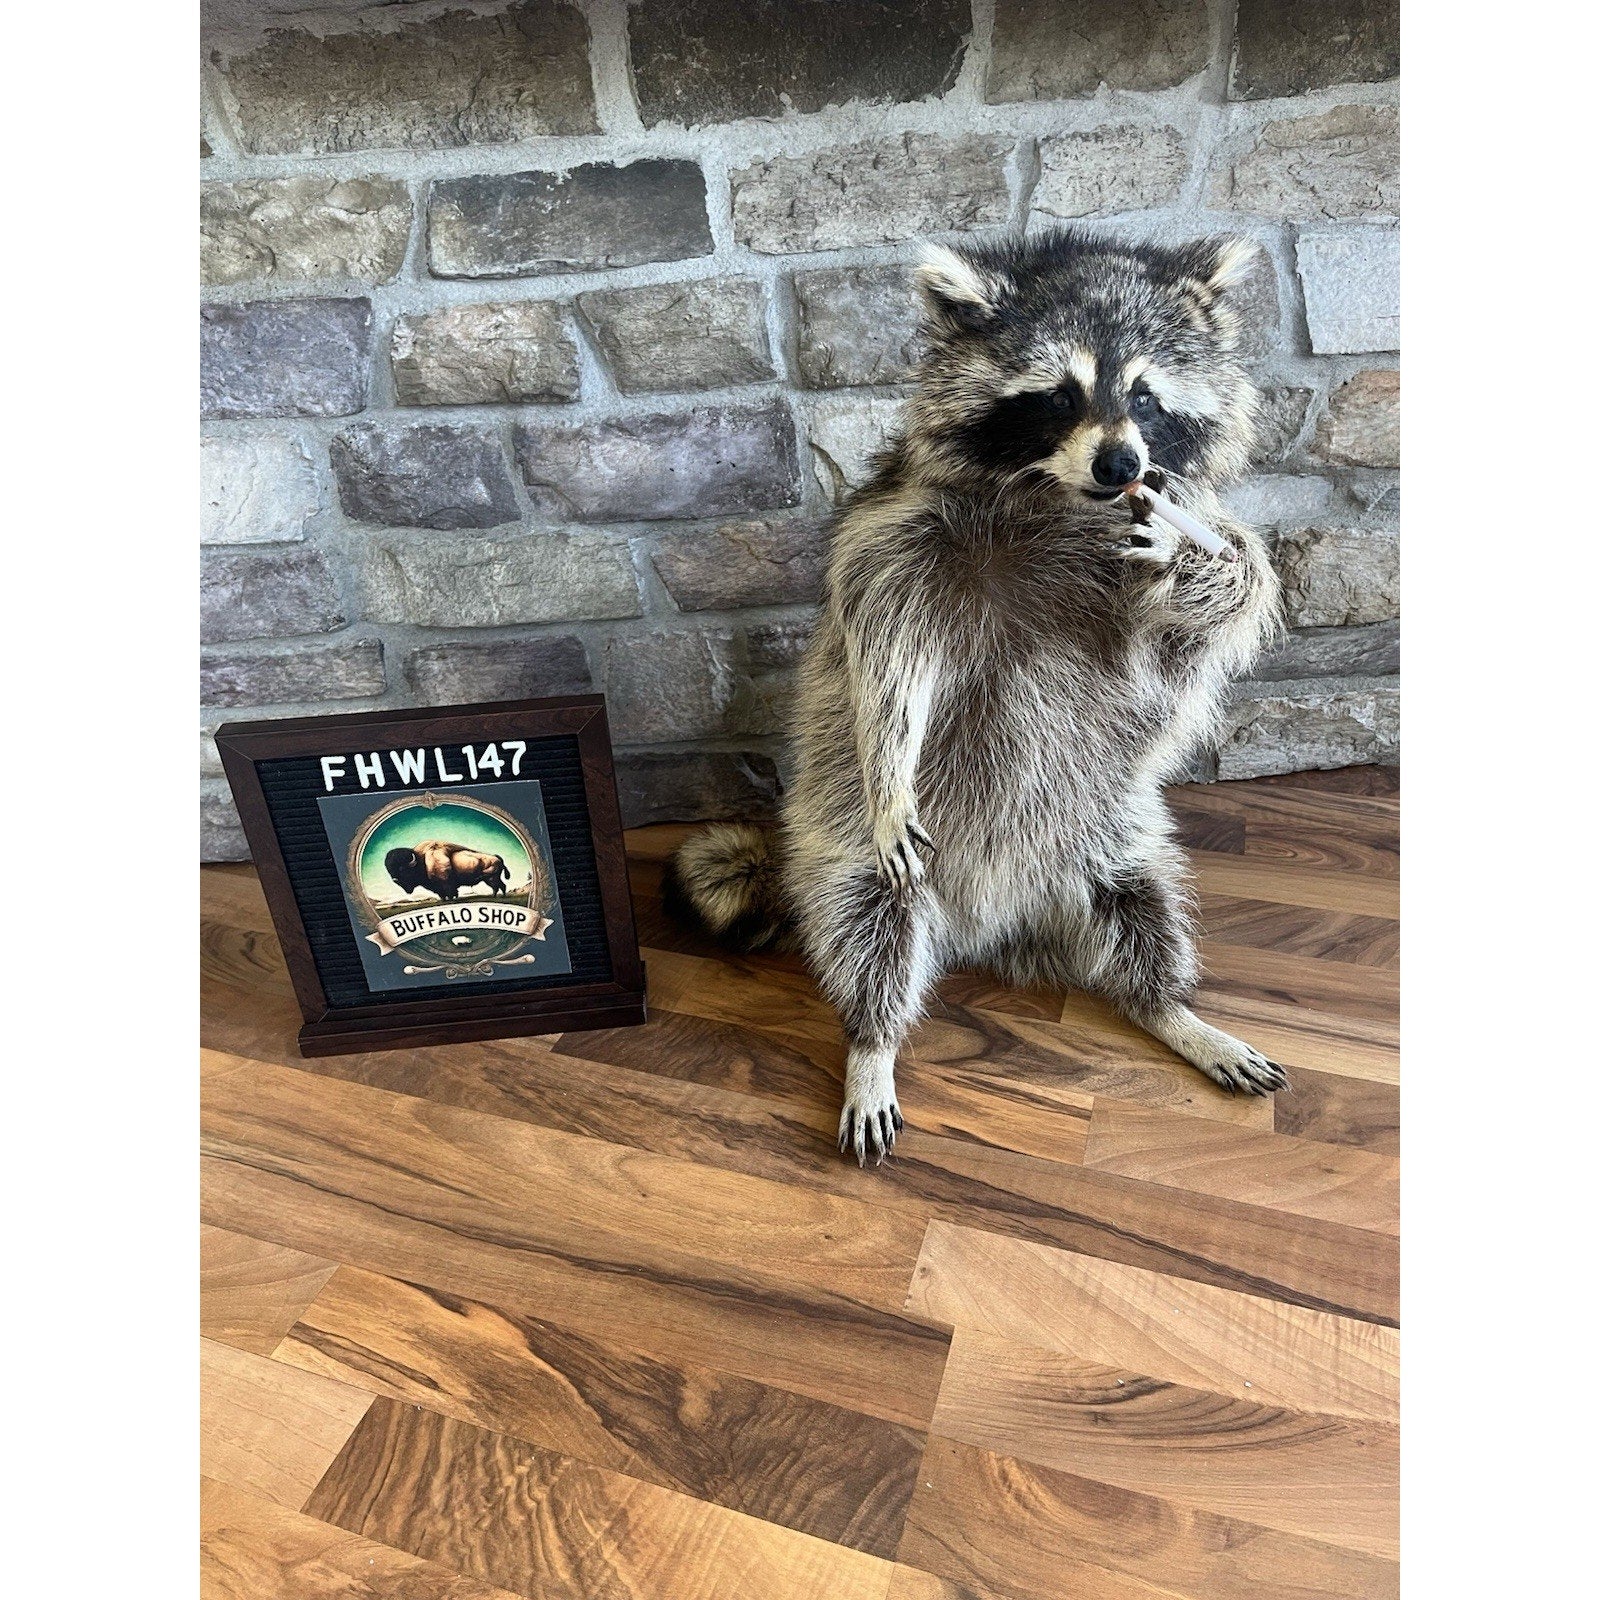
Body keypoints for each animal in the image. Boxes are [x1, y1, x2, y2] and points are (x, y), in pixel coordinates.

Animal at [666, 229, 1286, 1165]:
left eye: (1145, 396)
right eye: (1060, 396)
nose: (1122, 463)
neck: (1058, 498)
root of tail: (989, 922)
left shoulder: (1137, 594)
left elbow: (1211, 611)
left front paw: (1199, 557)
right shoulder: (897, 540)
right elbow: (891, 666)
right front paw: (892, 764)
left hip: (1111, 835)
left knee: (1144, 908)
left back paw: (1169, 1007)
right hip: (848, 847)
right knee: (869, 928)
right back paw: (872, 1043)